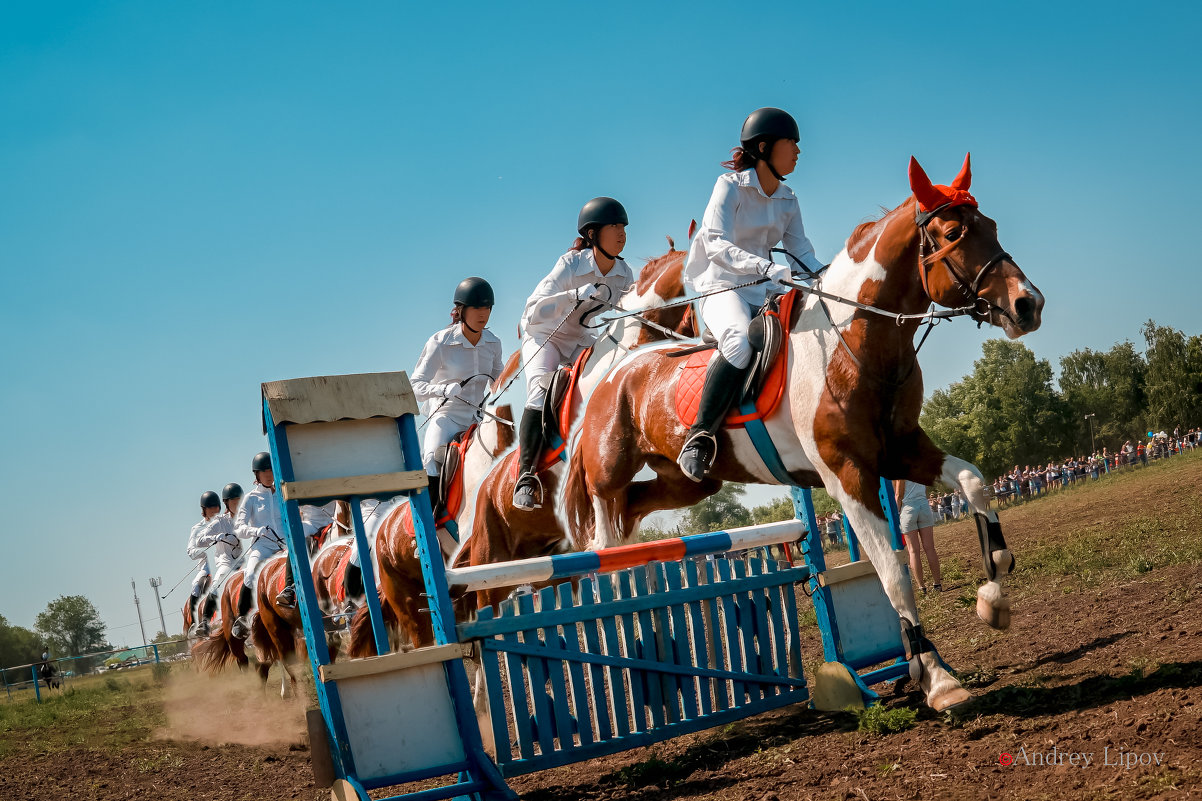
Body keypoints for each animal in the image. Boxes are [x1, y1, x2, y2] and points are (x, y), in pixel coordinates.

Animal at [560, 156, 1043, 712]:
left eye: (991, 227)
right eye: (952, 233)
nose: (1029, 305)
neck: (854, 341)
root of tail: (609, 373)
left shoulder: (901, 450)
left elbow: (974, 484)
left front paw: (991, 603)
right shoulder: (846, 473)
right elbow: (894, 572)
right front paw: (938, 679)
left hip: (686, 482)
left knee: (636, 515)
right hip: (607, 480)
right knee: (604, 553)